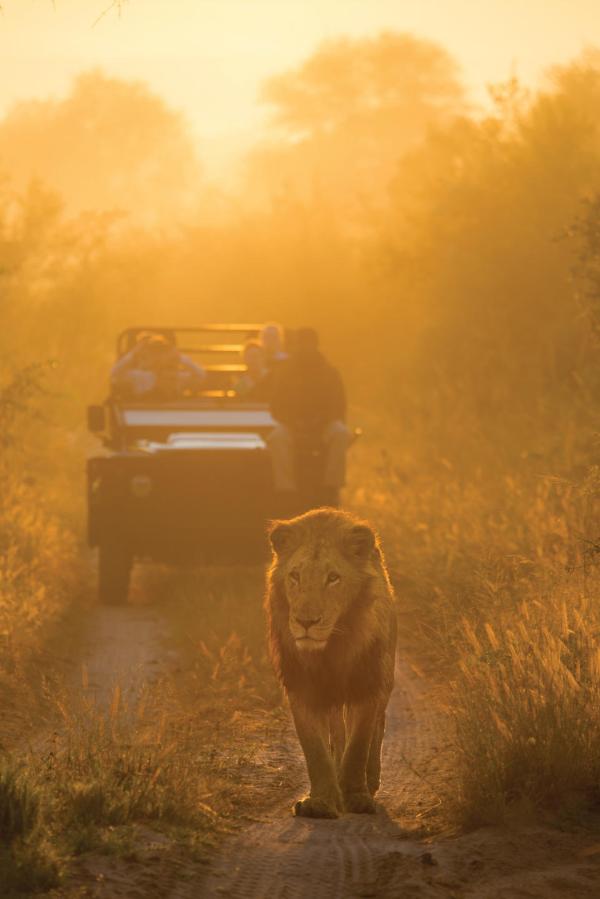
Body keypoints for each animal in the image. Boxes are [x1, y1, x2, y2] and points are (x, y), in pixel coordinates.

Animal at [264, 510, 396, 820]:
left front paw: (356, 796)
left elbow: (358, 745)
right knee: (337, 733)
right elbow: (315, 750)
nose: (306, 622)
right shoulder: (301, 689)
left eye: (333, 578)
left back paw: (371, 780)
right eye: (295, 576)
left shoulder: (366, 685)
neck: (330, 652)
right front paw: (321, 802)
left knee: (377, 728)